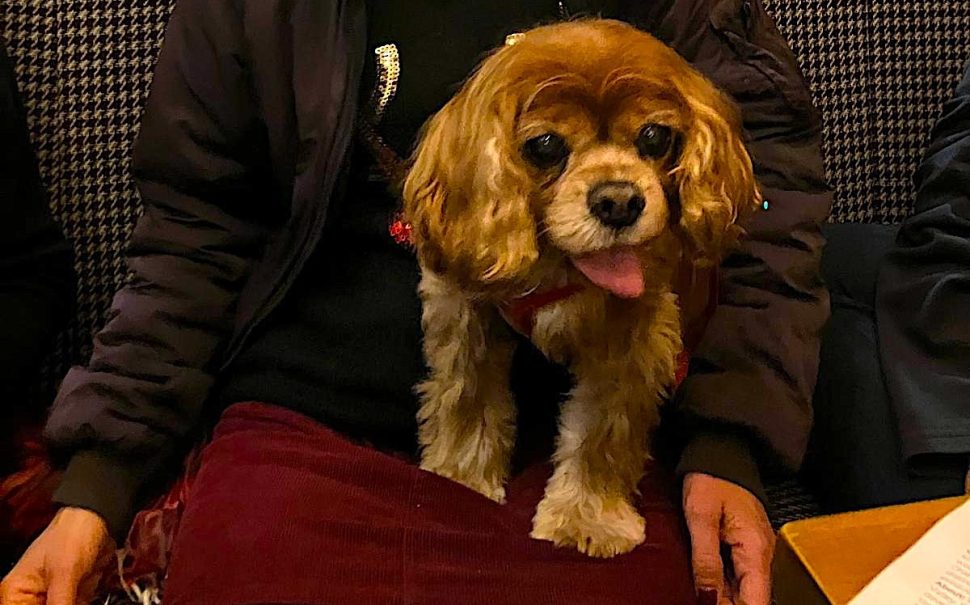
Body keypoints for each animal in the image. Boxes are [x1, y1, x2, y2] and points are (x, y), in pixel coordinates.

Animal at [398, 18, 760, 556]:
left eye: (654, 136)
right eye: (546, 145)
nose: (619, 201)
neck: (560, 268)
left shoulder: (631, 341)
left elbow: (600, 434)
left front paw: (588, 520)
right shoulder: (466, 315)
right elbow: (467, 401)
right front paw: (458, 478)